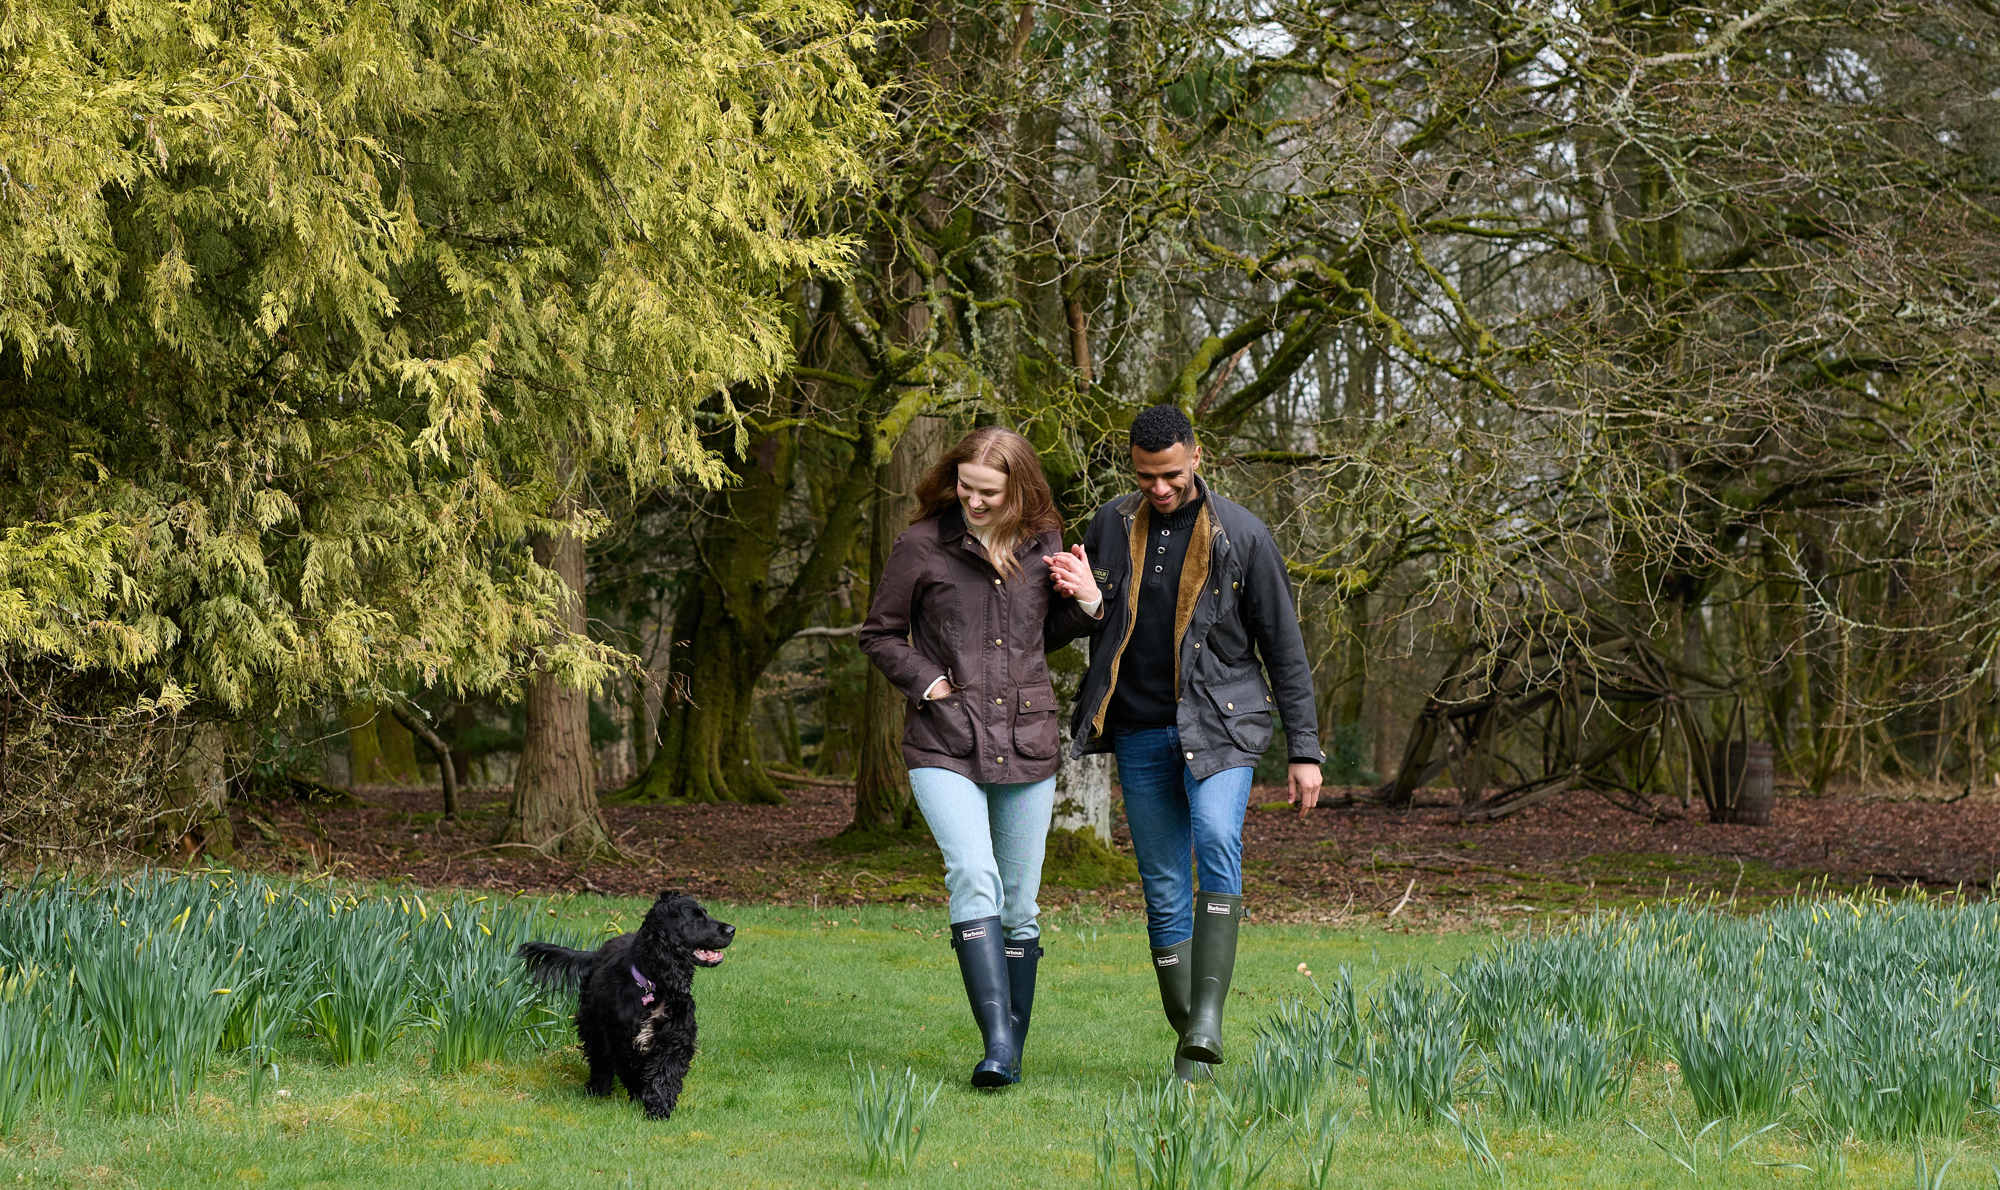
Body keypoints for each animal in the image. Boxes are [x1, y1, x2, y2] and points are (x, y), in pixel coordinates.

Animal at [516, 896, 736, 1120]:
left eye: (705, 912)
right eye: (696, 917)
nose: (732, 929)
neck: (653, 987)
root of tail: (596, 953)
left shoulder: (675, 1036)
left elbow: (665, 1072)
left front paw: (659, 1108)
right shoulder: (619, 1038)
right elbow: (631, 1069)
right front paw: (641, 1095)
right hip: (592, 1023)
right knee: (599, 1059)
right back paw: (597, 1090)